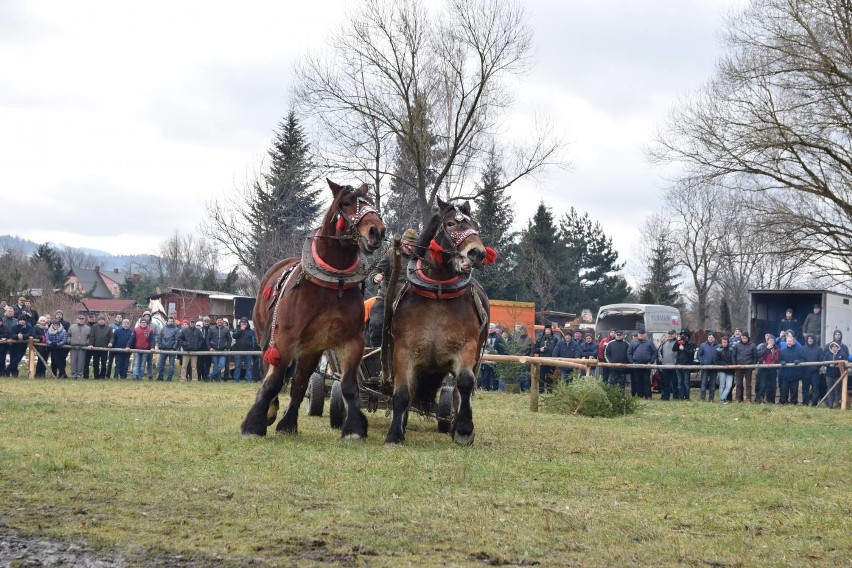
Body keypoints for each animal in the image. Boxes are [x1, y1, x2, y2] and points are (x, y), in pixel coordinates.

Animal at [240, 180, 386, 438]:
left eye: (369, 203)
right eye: (345, 203)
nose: (376, 231)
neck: (333, 285)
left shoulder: (351, 341)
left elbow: (348, 385)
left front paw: (354, 428)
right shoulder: (285, 339)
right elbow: (273, 381)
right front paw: (254, 423)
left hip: (312, 349)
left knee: (299, 383)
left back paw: (288, 423)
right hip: (265, 337)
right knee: (270, 371)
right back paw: (271, 410)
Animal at [386, 197, 492, 446]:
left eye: (476, 226)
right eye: (451, 223)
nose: (477, 253)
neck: (438, 293)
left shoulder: (467, 348)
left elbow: (465, 383)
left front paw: (464, 430)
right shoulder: (403, 351)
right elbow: (402, 392)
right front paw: (395, 433)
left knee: (458, 391)